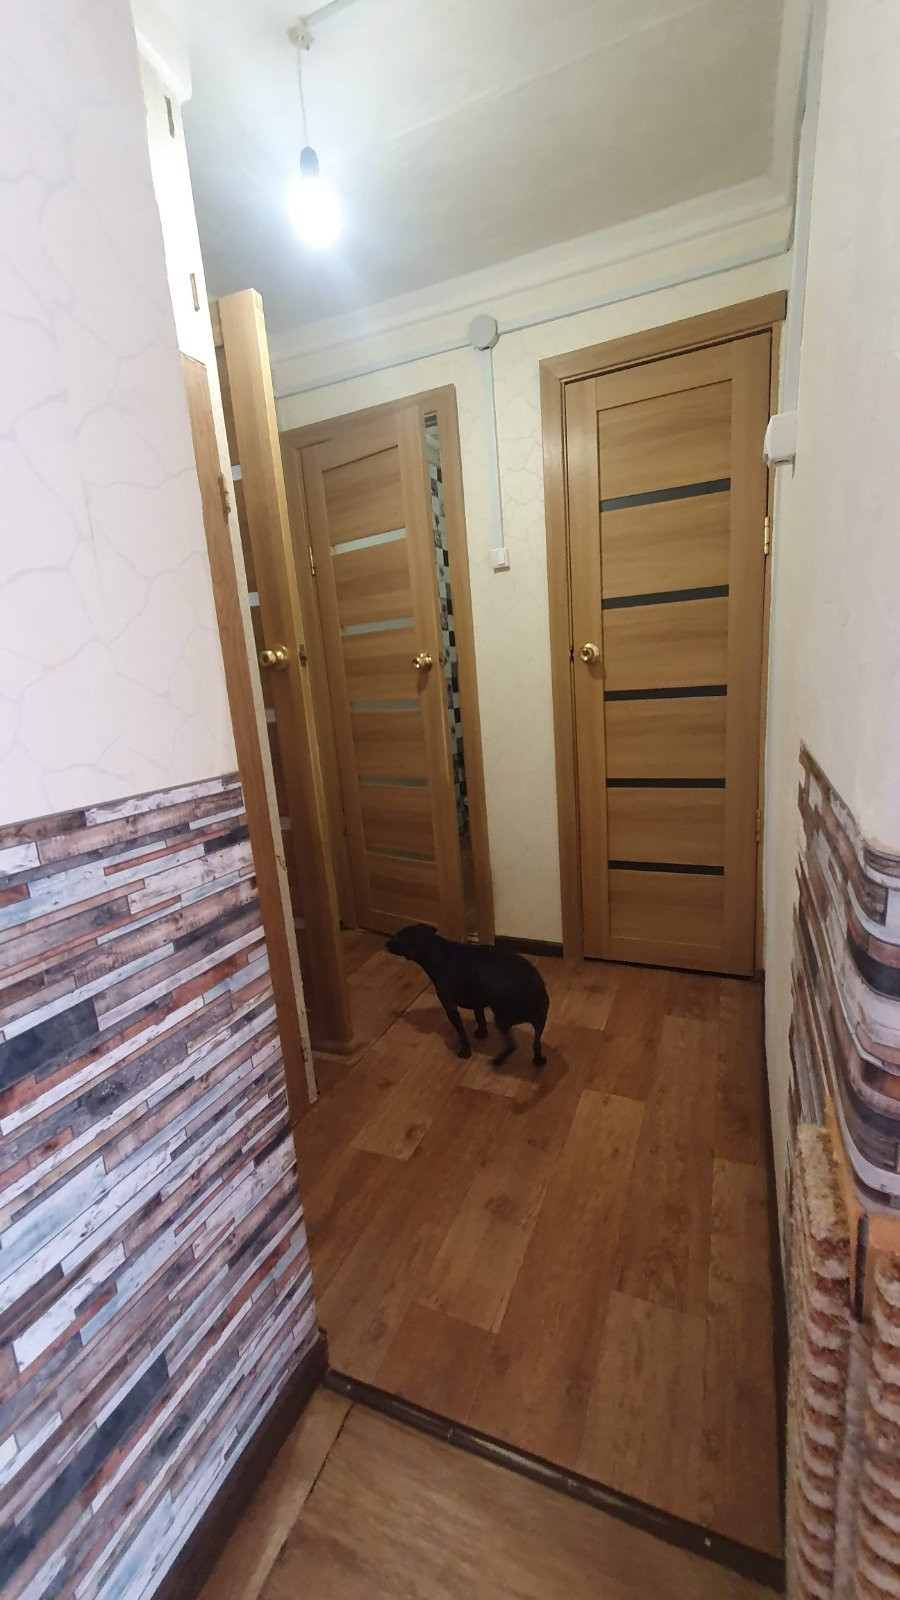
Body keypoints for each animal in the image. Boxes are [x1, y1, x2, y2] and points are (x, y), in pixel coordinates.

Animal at [386, 924, 549, 1068]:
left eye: (399, 937)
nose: (386, 943)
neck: (435, 950)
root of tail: (536, 991)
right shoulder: (477, 1001)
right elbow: (480, 1019)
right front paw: (482, 1033)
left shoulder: (450, 1008)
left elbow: (462, 1033)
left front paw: (465, 1052)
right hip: (539, 1021)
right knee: (536, 1043)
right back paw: (538, 1061)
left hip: (502, 1019)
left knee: (512, 1046)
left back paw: (498, 1061)